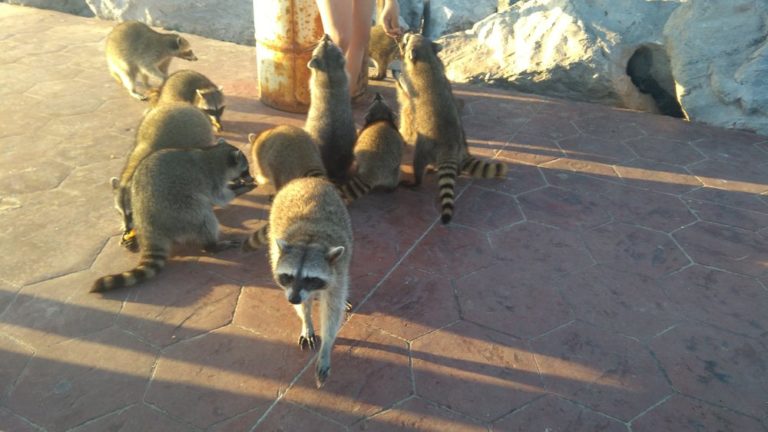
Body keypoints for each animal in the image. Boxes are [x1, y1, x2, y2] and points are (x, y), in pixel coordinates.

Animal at [92, 141, 250, 293]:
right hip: (178, 210)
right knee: (203, 216)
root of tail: (148, 224)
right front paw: (238, 189)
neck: (213, 153)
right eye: (246, 170)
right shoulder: (212, 179)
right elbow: (219, 197)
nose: (250, 177)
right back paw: (212, 245)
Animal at [266, 176, 353, 388]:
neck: (309, 240)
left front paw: (326, 348)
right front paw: (306, 320)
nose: (293, 299)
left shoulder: (337, 271)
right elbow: (303, 305)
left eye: (310, 278)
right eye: (288, 276)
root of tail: (306, 179)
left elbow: (332, 309)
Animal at [395, 33, 508, 224]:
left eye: (409, 38)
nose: (405, 33)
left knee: (418, 162)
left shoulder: (412, 80)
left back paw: (417, 181)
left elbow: (405, 87)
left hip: (425, 146)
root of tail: (452, 145)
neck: (428, 58)